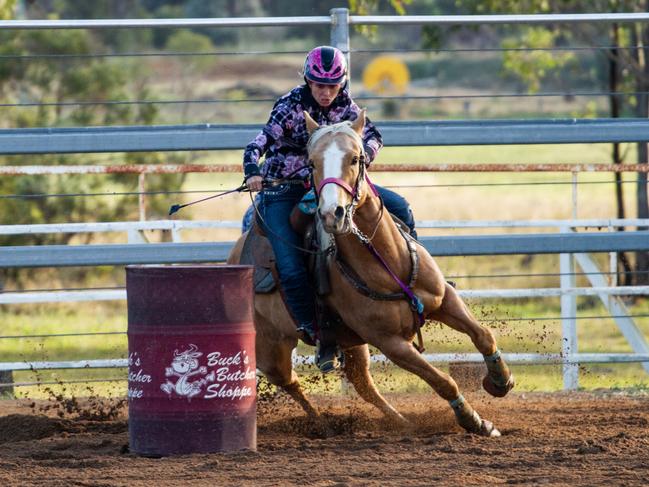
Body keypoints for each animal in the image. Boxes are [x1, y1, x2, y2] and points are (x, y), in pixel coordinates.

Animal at [225, 110, 512, 438]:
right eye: (312, 163)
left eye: (355, 158)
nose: (332, 214)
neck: (387, 263)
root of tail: (233, 259)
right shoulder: (389, 342)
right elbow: (442, 380)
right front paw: (475, 421)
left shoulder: (444, 299)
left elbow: (483, 335)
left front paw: (500, 381)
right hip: (272, 350)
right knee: (292, 383)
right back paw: (323, 425)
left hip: (352, 342)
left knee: (363, 384)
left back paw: (401, 422)